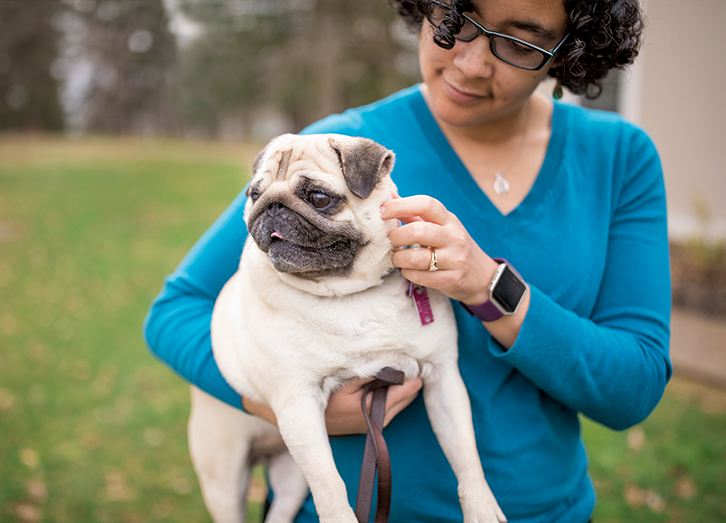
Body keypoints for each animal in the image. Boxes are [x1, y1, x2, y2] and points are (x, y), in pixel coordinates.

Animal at [188, 135, 506, 523]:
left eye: (319, 198)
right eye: (254, 195)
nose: (270, 206)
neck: (348, 293)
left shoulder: (443, 379)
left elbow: (466, 455)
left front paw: (481, 508)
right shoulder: (299, 405)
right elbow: (329, 482)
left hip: (291, 478)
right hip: (225, 477)